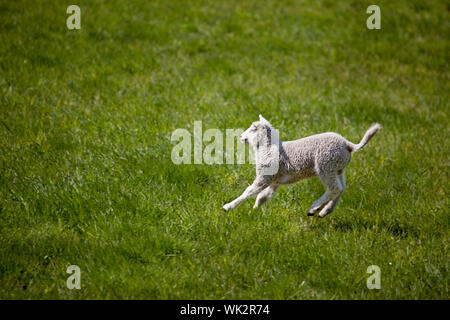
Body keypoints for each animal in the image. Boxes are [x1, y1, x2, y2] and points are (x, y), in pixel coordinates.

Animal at [221, 115, 380, 218]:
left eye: (252, 129)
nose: (241, 137)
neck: (268, 148)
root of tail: (348, 145)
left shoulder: (265, 176)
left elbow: (249, 191)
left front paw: (228, 207)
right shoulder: (274, 181)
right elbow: (263, 196)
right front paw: (254, 211)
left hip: (325, 166)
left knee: (335, 188)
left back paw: (314, 208)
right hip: (338, 168)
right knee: (341, 188)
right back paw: (324, 211)